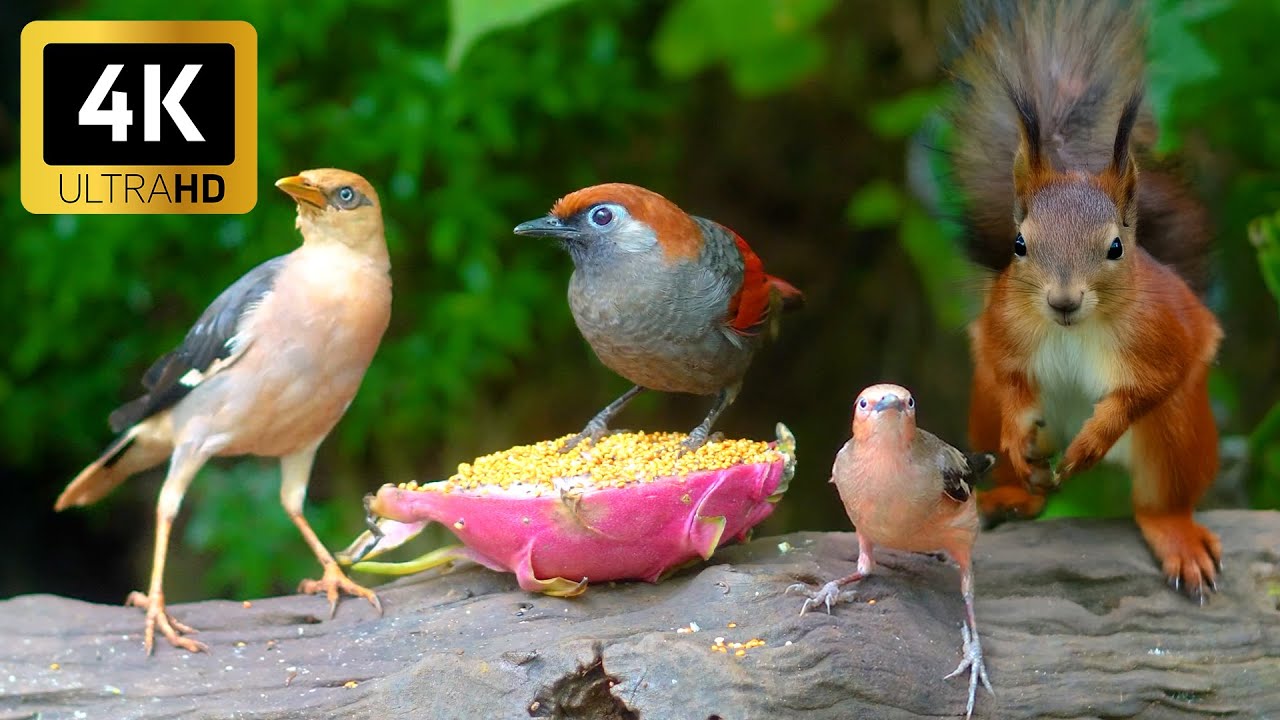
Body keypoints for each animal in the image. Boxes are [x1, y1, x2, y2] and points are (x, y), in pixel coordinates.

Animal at [944, 0, 1224, 601]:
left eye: (1116, 247)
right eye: (1019, 244)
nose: (1063, 301)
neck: (1074, 329)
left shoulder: (1165, 332)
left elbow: (1153, 382)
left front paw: (1098, 436)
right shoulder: (1002, 325)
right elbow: (1007, 372)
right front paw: (1016, 430)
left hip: (1179, 436)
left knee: (1160, 500)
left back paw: (1176, 534)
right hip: (983, 407)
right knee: (1023, 470)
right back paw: (1013, 493)